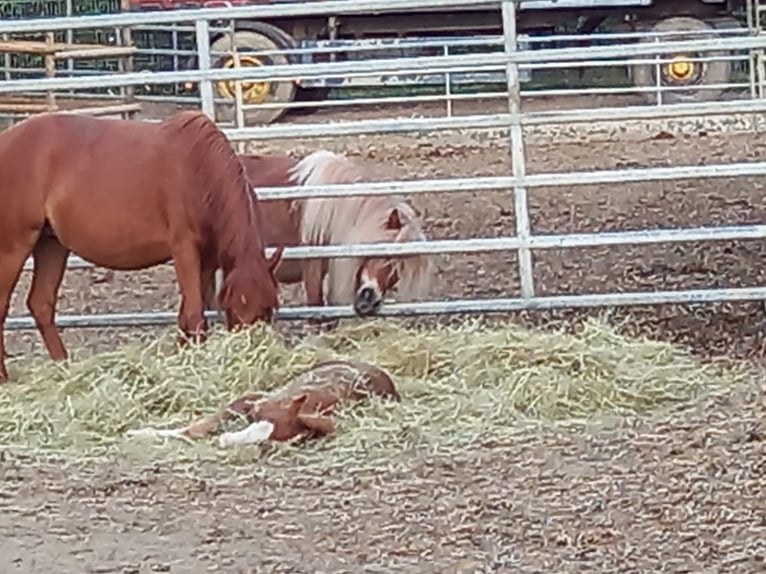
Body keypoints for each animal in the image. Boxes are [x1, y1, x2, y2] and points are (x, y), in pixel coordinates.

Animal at [0, 111, 284, 384]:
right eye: (234, 309)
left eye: (269, 310)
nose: (252, 351)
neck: (198, 170)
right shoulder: (184, 250)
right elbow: (194, 314)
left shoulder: (207, 261)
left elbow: (187, 313)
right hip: (14, 246)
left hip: (51, 245)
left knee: (41, 303)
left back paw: (64, 367)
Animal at [127, 360, 402, 450]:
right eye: (255, 417)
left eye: (271, 443)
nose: (225, 440)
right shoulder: (249, 398)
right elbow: (196, 427)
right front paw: (137, 433)